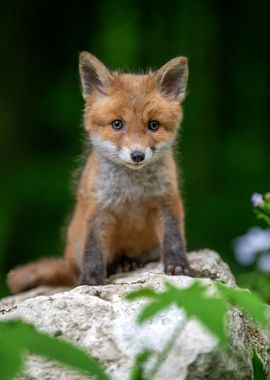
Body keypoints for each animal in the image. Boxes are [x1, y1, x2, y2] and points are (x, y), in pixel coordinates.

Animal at [7, 51, 194, 294]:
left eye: (153, 125)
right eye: (117, 124)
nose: (137, 155)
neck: (132, 191)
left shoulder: (167, 200)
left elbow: (173, 239)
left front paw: (178, 266)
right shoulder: (98, 209)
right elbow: (93, 252)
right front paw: (90, 281)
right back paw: (119, 265)